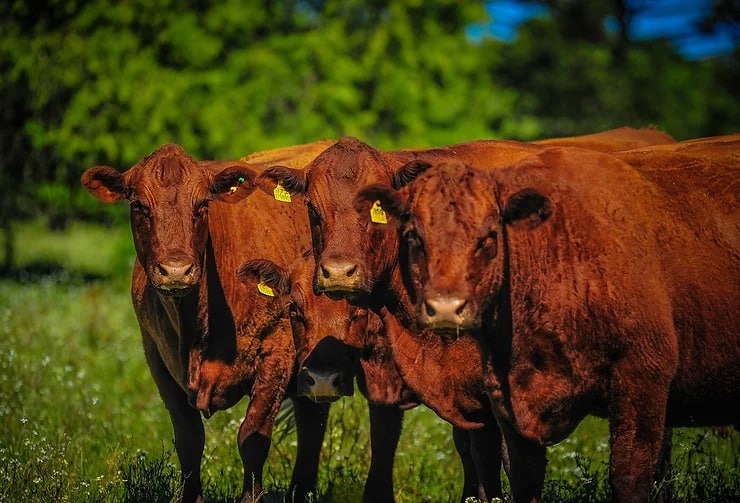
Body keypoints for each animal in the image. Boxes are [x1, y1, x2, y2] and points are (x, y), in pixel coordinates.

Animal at [79, 142, 330, 503]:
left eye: (201, 205)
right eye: (139, 205)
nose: (175, 270)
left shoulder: (277, 354)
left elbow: (252, 437)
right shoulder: (157, 357)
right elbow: (189, 439)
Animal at [356, 138, 736, 503]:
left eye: (490, 236)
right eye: (413, 236)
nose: (446, 307)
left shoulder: (643, 382)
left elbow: (630, 478)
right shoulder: (507, 401)